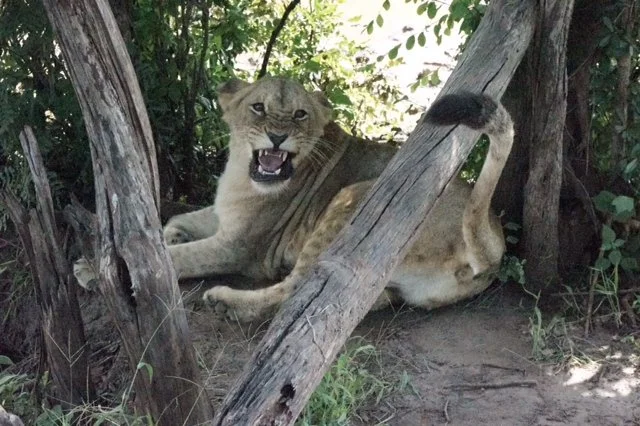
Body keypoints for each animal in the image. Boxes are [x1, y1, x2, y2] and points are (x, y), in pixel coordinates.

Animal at [75, 77, 513, 323]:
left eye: (301, 114)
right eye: (258, 107)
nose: (278, 136)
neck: (242, 174)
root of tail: (493, 240)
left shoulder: (239, 247)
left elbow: (176, 260)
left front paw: (93, 268)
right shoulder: (224, 216)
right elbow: (177, 223)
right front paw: (169, 237)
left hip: (352, 197)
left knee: (300, 291)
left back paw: (226, 304)